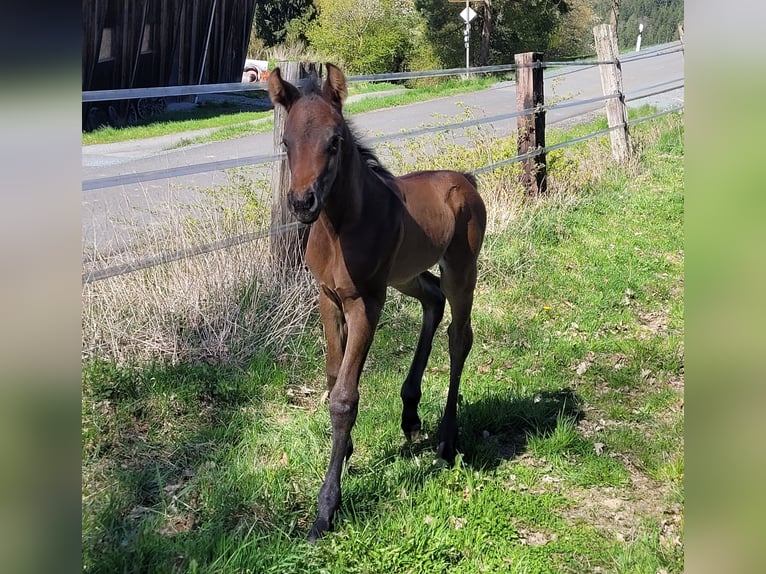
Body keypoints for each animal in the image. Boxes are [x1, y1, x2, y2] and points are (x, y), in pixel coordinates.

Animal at [268, 63, 486, 542]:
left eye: (334, 141)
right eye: (286, 142)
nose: (302, 202)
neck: (339, 226)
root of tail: (464, 179)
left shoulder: (366, 302)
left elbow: (344, 397)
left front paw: (326, 509)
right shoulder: (328, 298)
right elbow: (333, 377)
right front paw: (346, 450)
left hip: (461, 270)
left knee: (459, 337)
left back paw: (447, 439)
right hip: (405, 277)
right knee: (433, 301)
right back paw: (410, 411)